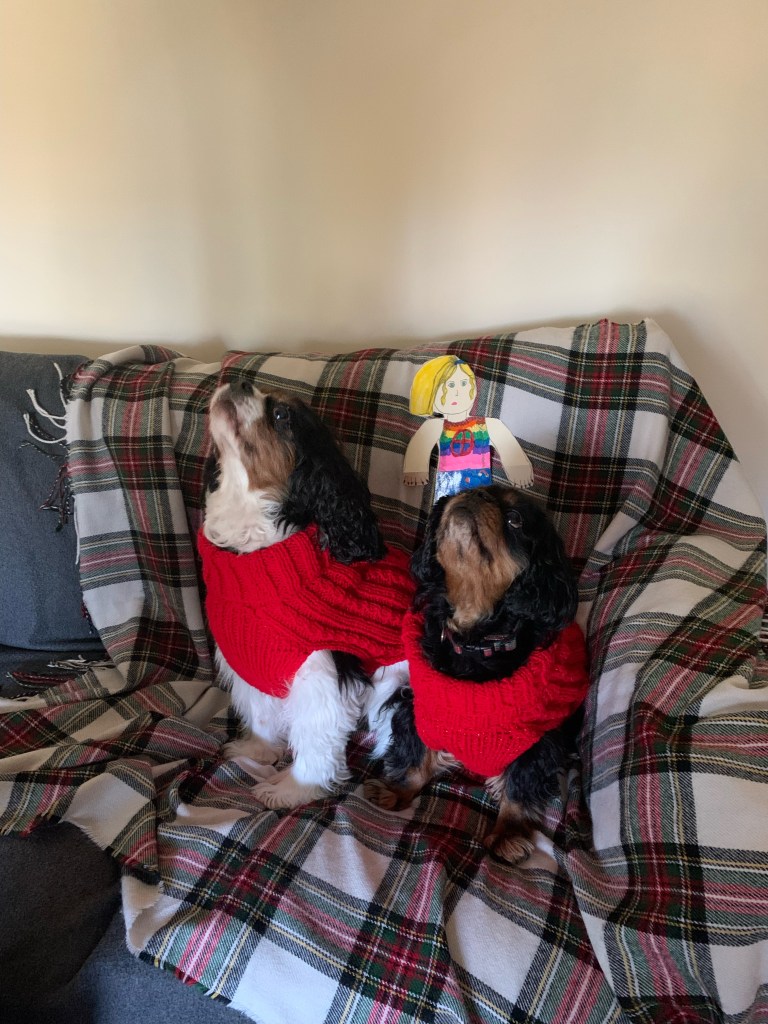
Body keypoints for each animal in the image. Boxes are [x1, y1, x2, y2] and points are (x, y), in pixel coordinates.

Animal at [199, 378, 412, 809]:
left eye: (281, 414)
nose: (241, 379)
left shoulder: (319, 678)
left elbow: (316, 740)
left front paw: (294, 788)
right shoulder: (252, 662)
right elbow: (262, 715)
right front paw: (259, 751)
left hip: (396, 687)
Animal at [366, 484, 588, 864]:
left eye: (515, 519)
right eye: (468, 489)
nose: (476, 493)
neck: (474, 640)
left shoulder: (535, 739)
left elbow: (520, 784)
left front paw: (508, 833)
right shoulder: (425, 710)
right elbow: (415, 755)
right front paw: (396, 791)